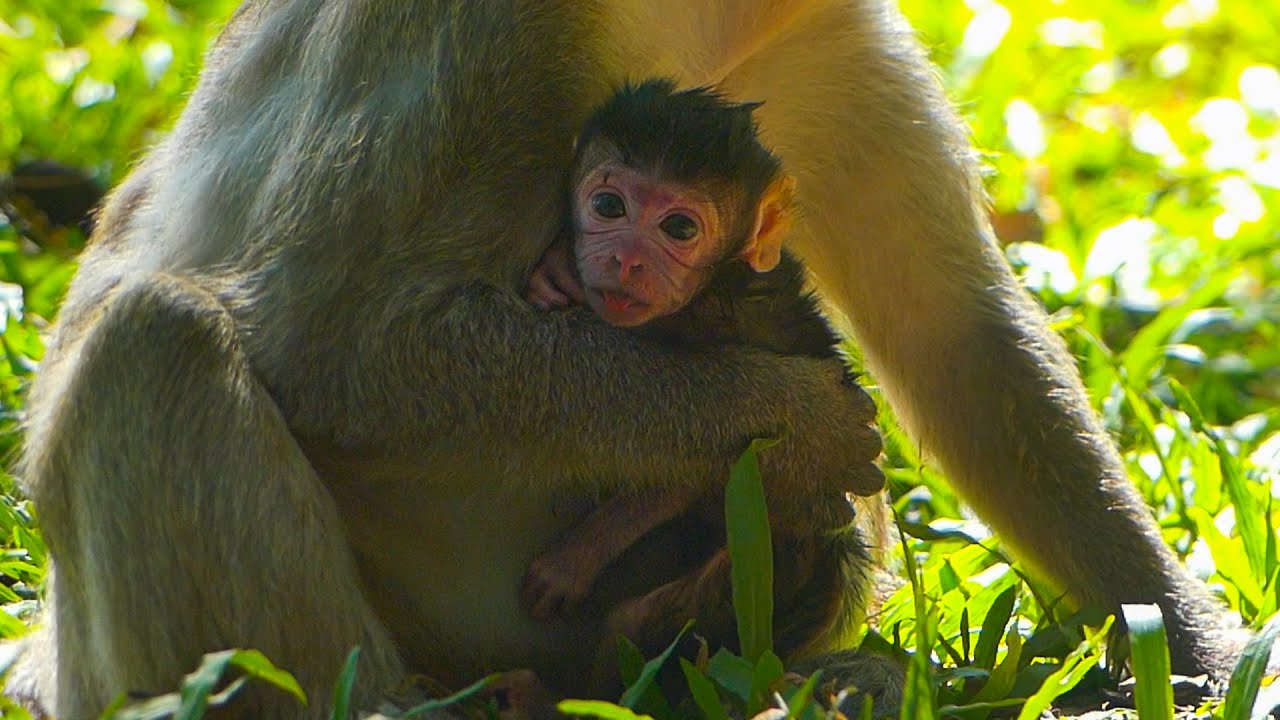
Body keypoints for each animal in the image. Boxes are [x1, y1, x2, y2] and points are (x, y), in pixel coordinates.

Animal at [5, 2, 1248, 718]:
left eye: (680, 225)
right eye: (609, 205)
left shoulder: (824, 32)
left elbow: (953, 336)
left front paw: (1194, 652)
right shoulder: (478, 38)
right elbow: (330, 334)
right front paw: (791, 420)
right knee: (152, 344)